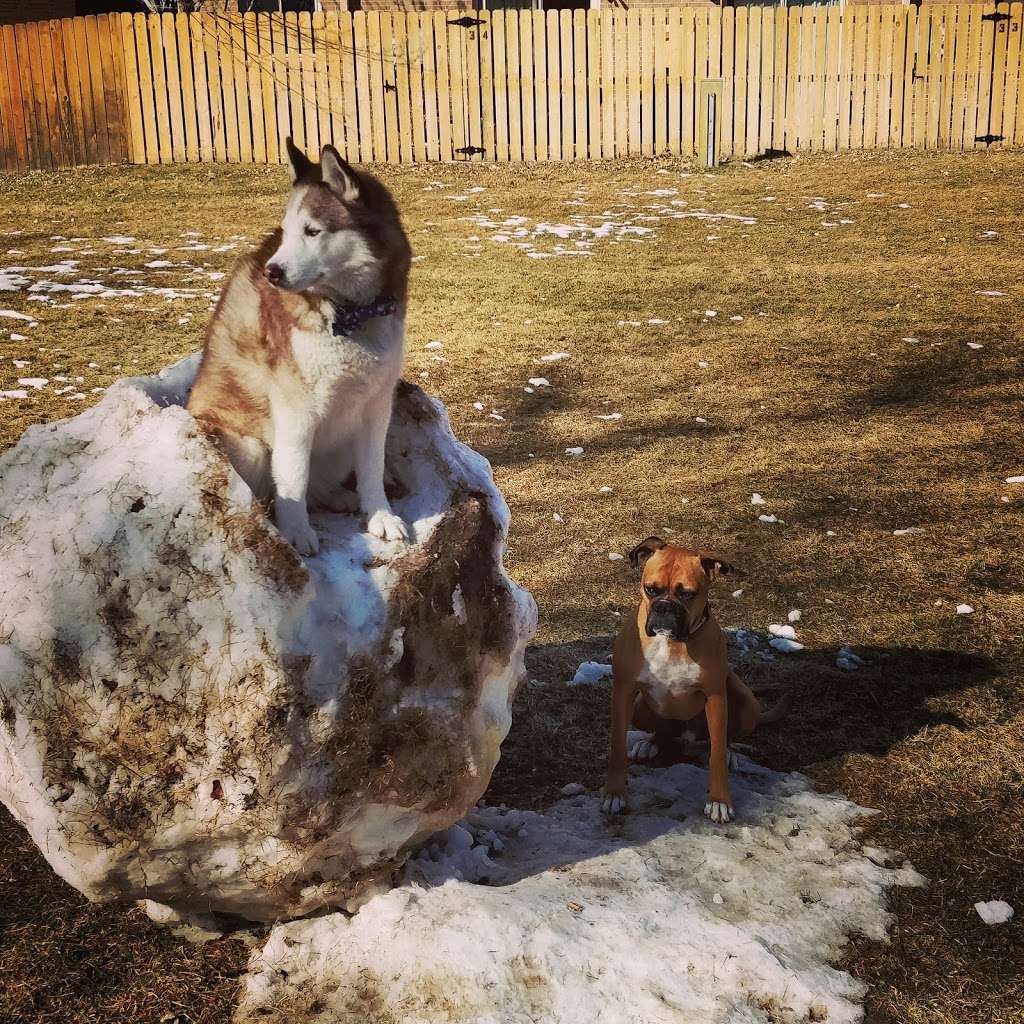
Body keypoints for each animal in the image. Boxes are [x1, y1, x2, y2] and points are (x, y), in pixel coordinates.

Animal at [186, 138, 409, 552]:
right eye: (286, 231)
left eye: (312, 231)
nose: (272, 272)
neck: (352, 314)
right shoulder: (295, 412)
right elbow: (293, 478)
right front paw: (296, 533)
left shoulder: (377, 404)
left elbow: (372, 468)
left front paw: (380, 516)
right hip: (251, 447)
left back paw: (339, 497)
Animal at [598, 536, 774, 823]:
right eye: (651, 589)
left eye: (687, 594)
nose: (664, 607)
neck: (672, 642)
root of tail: (687, 736)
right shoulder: (623, 692)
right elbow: (617, 747)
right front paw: (614, 793)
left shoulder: (715, 696)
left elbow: (715, 756)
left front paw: (719, 801)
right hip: (639, 706)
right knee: (662, 732)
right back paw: (650, 744)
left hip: (747, 704)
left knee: (723, 740)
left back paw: (728, 753)